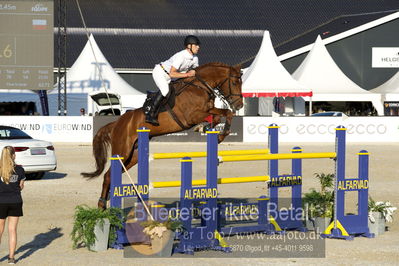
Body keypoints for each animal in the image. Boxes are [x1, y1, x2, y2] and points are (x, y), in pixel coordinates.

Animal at [81, 62, 244, 208]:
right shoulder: (192, 116)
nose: (239, 105)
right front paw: (211, 131)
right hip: (122, 152)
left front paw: (210, 130)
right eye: (234, 82)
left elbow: (223, 114)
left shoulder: (208, 110)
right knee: (108, 175)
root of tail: (117, 123)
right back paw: (102, 205)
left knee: (113, 174)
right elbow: (222, 114)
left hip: (133, 156)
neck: (200, 87)